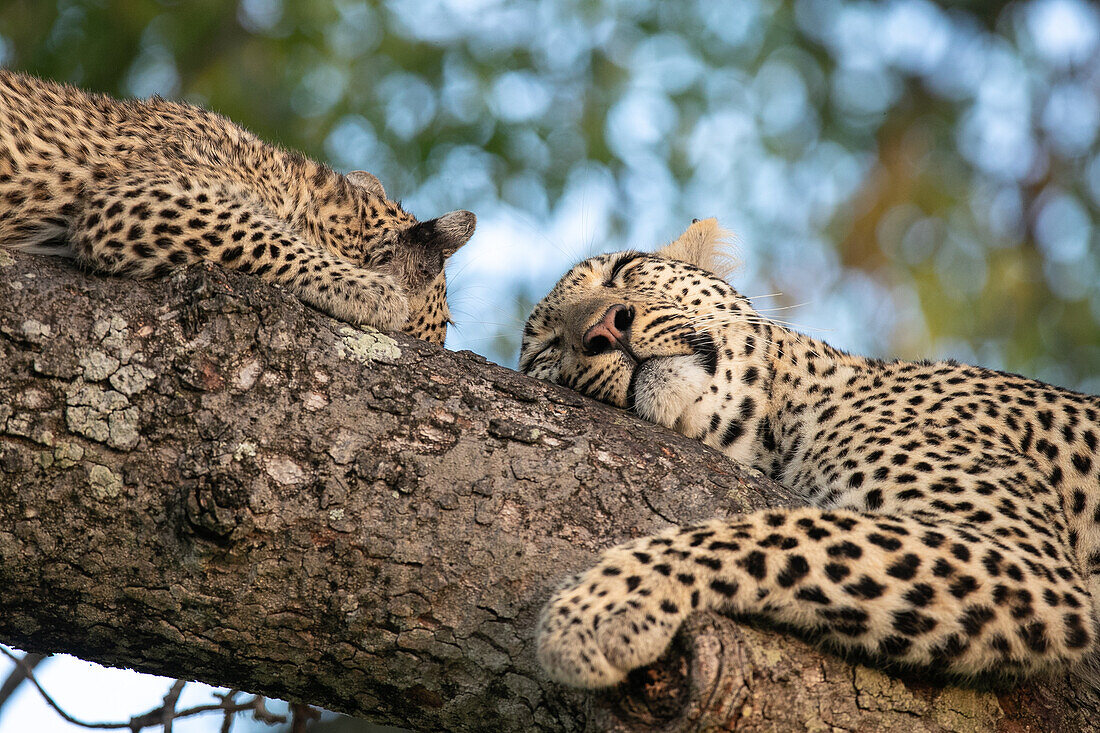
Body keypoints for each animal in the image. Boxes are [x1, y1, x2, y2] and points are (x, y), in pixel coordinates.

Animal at [521, 217, 1100, 691]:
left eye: (624, 270)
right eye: (547, 347)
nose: (603, 327)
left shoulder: (1024, 560)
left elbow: (781, 529)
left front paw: (598, 603)